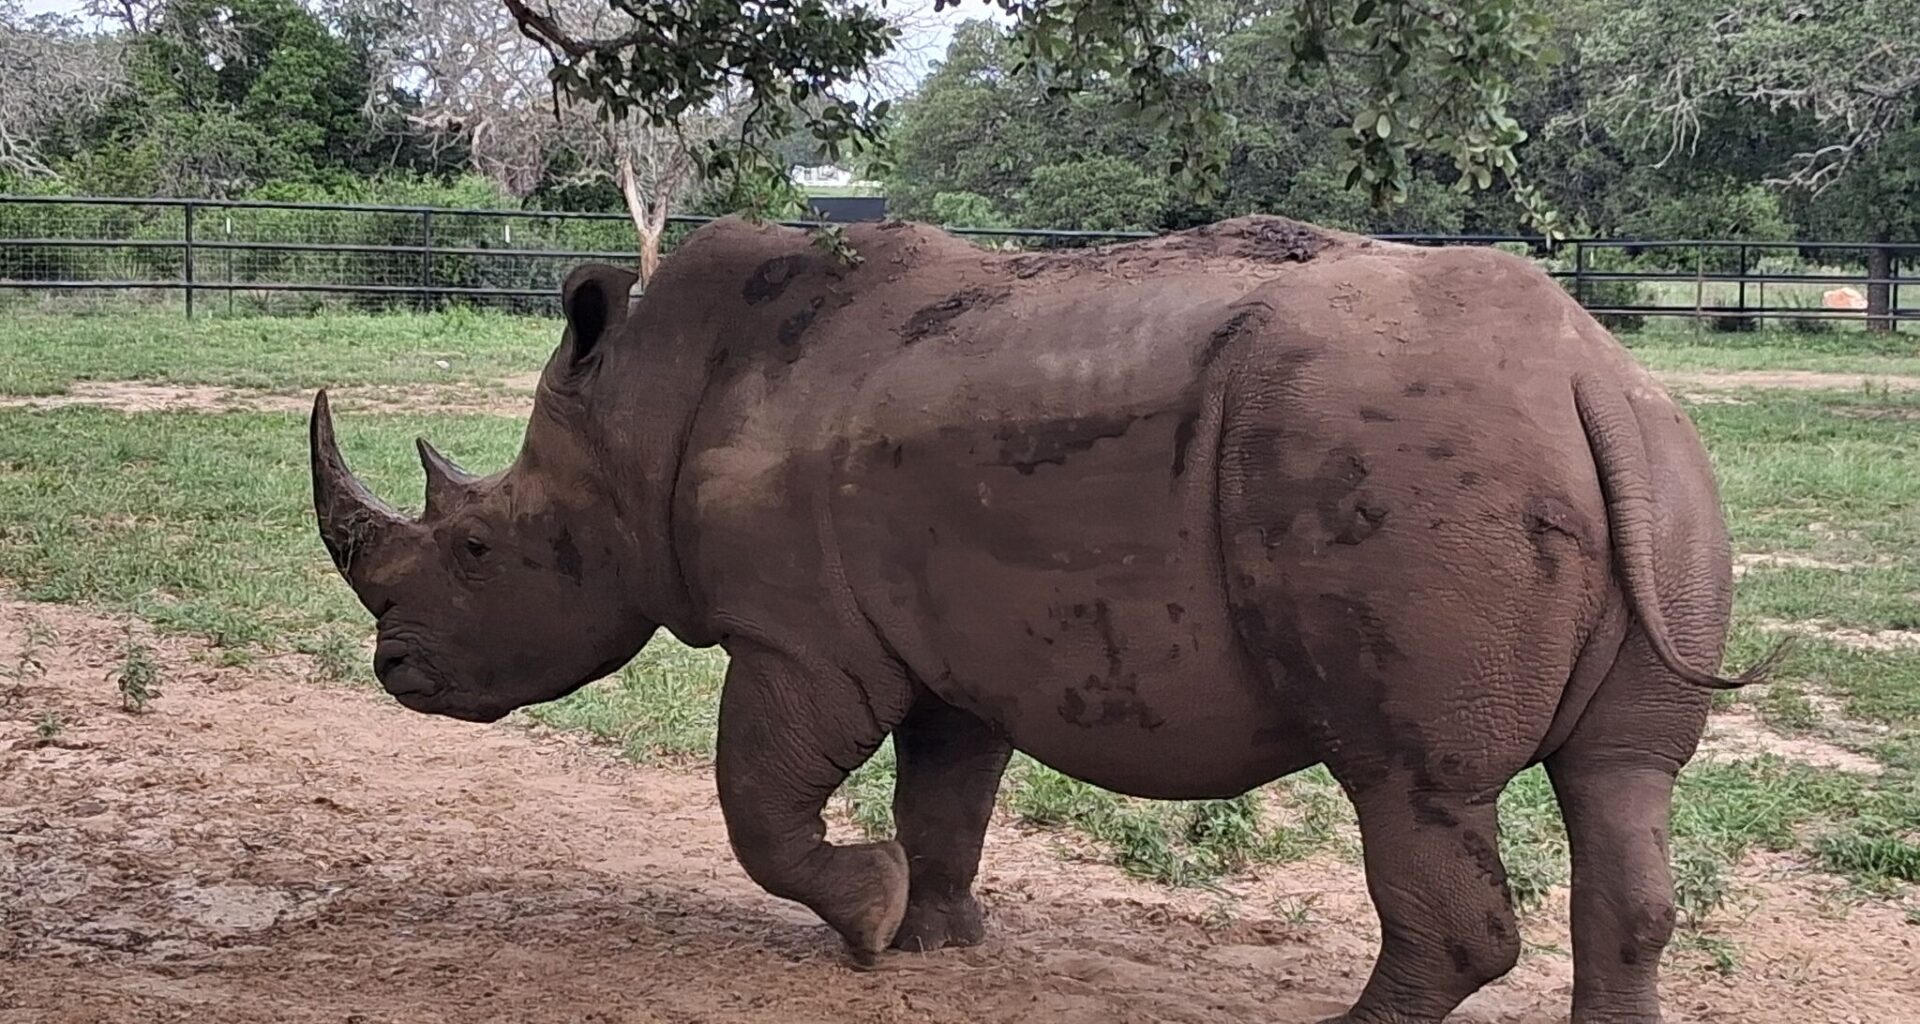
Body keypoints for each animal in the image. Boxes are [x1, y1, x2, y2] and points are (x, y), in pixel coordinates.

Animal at [310, 215, 1778, 1024]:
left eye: (482, 547)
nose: (394, 667)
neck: (642, 417)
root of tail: (1590, 377)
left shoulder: (801, 636)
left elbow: (758, 800)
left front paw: (862, 925)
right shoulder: (944, 639)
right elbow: (944, 798)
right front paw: (935, 938)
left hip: (1415, 474)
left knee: (1408, 784)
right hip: (1661, 465)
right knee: (1623, 781)